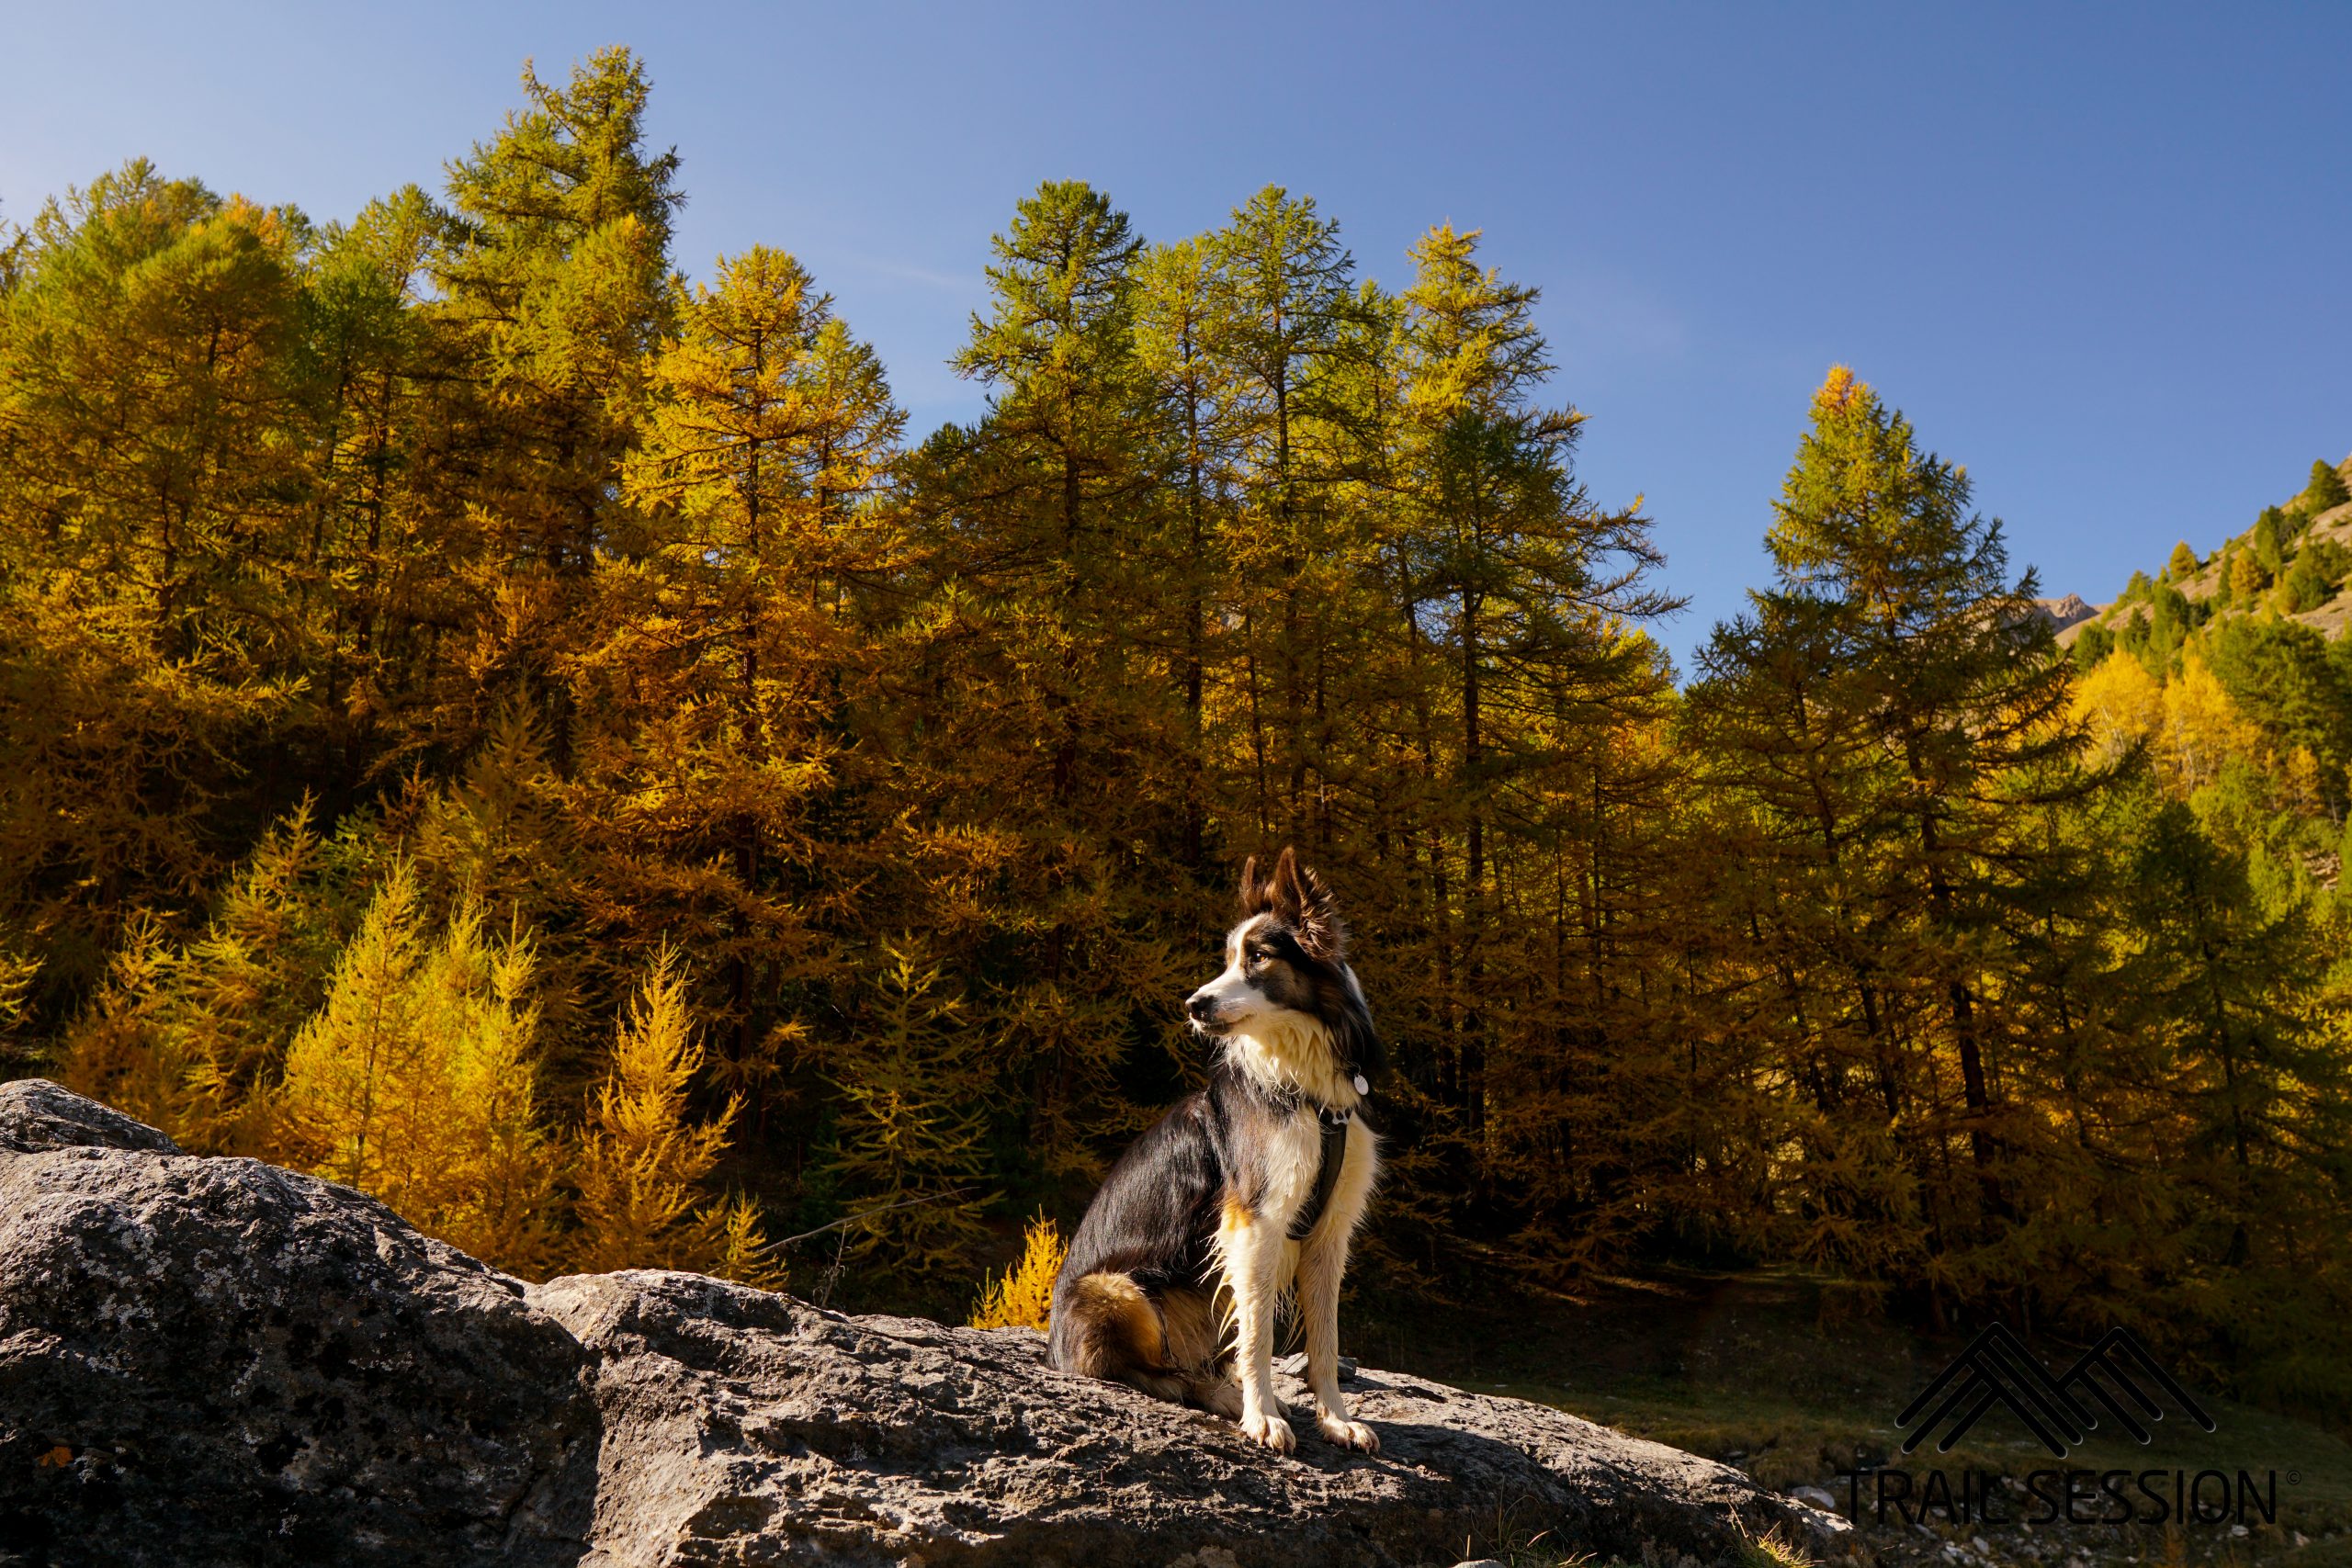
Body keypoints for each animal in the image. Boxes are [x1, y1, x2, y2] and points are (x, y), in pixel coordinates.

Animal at [1048, 851, 1374, 1457]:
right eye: (1226, 960)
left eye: (1258, 957)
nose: (1193, 1005)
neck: (1309, 1091)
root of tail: (1053, 1348)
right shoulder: (1256, 1220)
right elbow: (1259, 1335)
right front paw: (1261, 1416)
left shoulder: (1328, 1234)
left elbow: (1324, 1339)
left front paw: (1336, 1420)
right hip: (1119, 1290)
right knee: (1137, 1372)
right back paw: (1218, 1394)